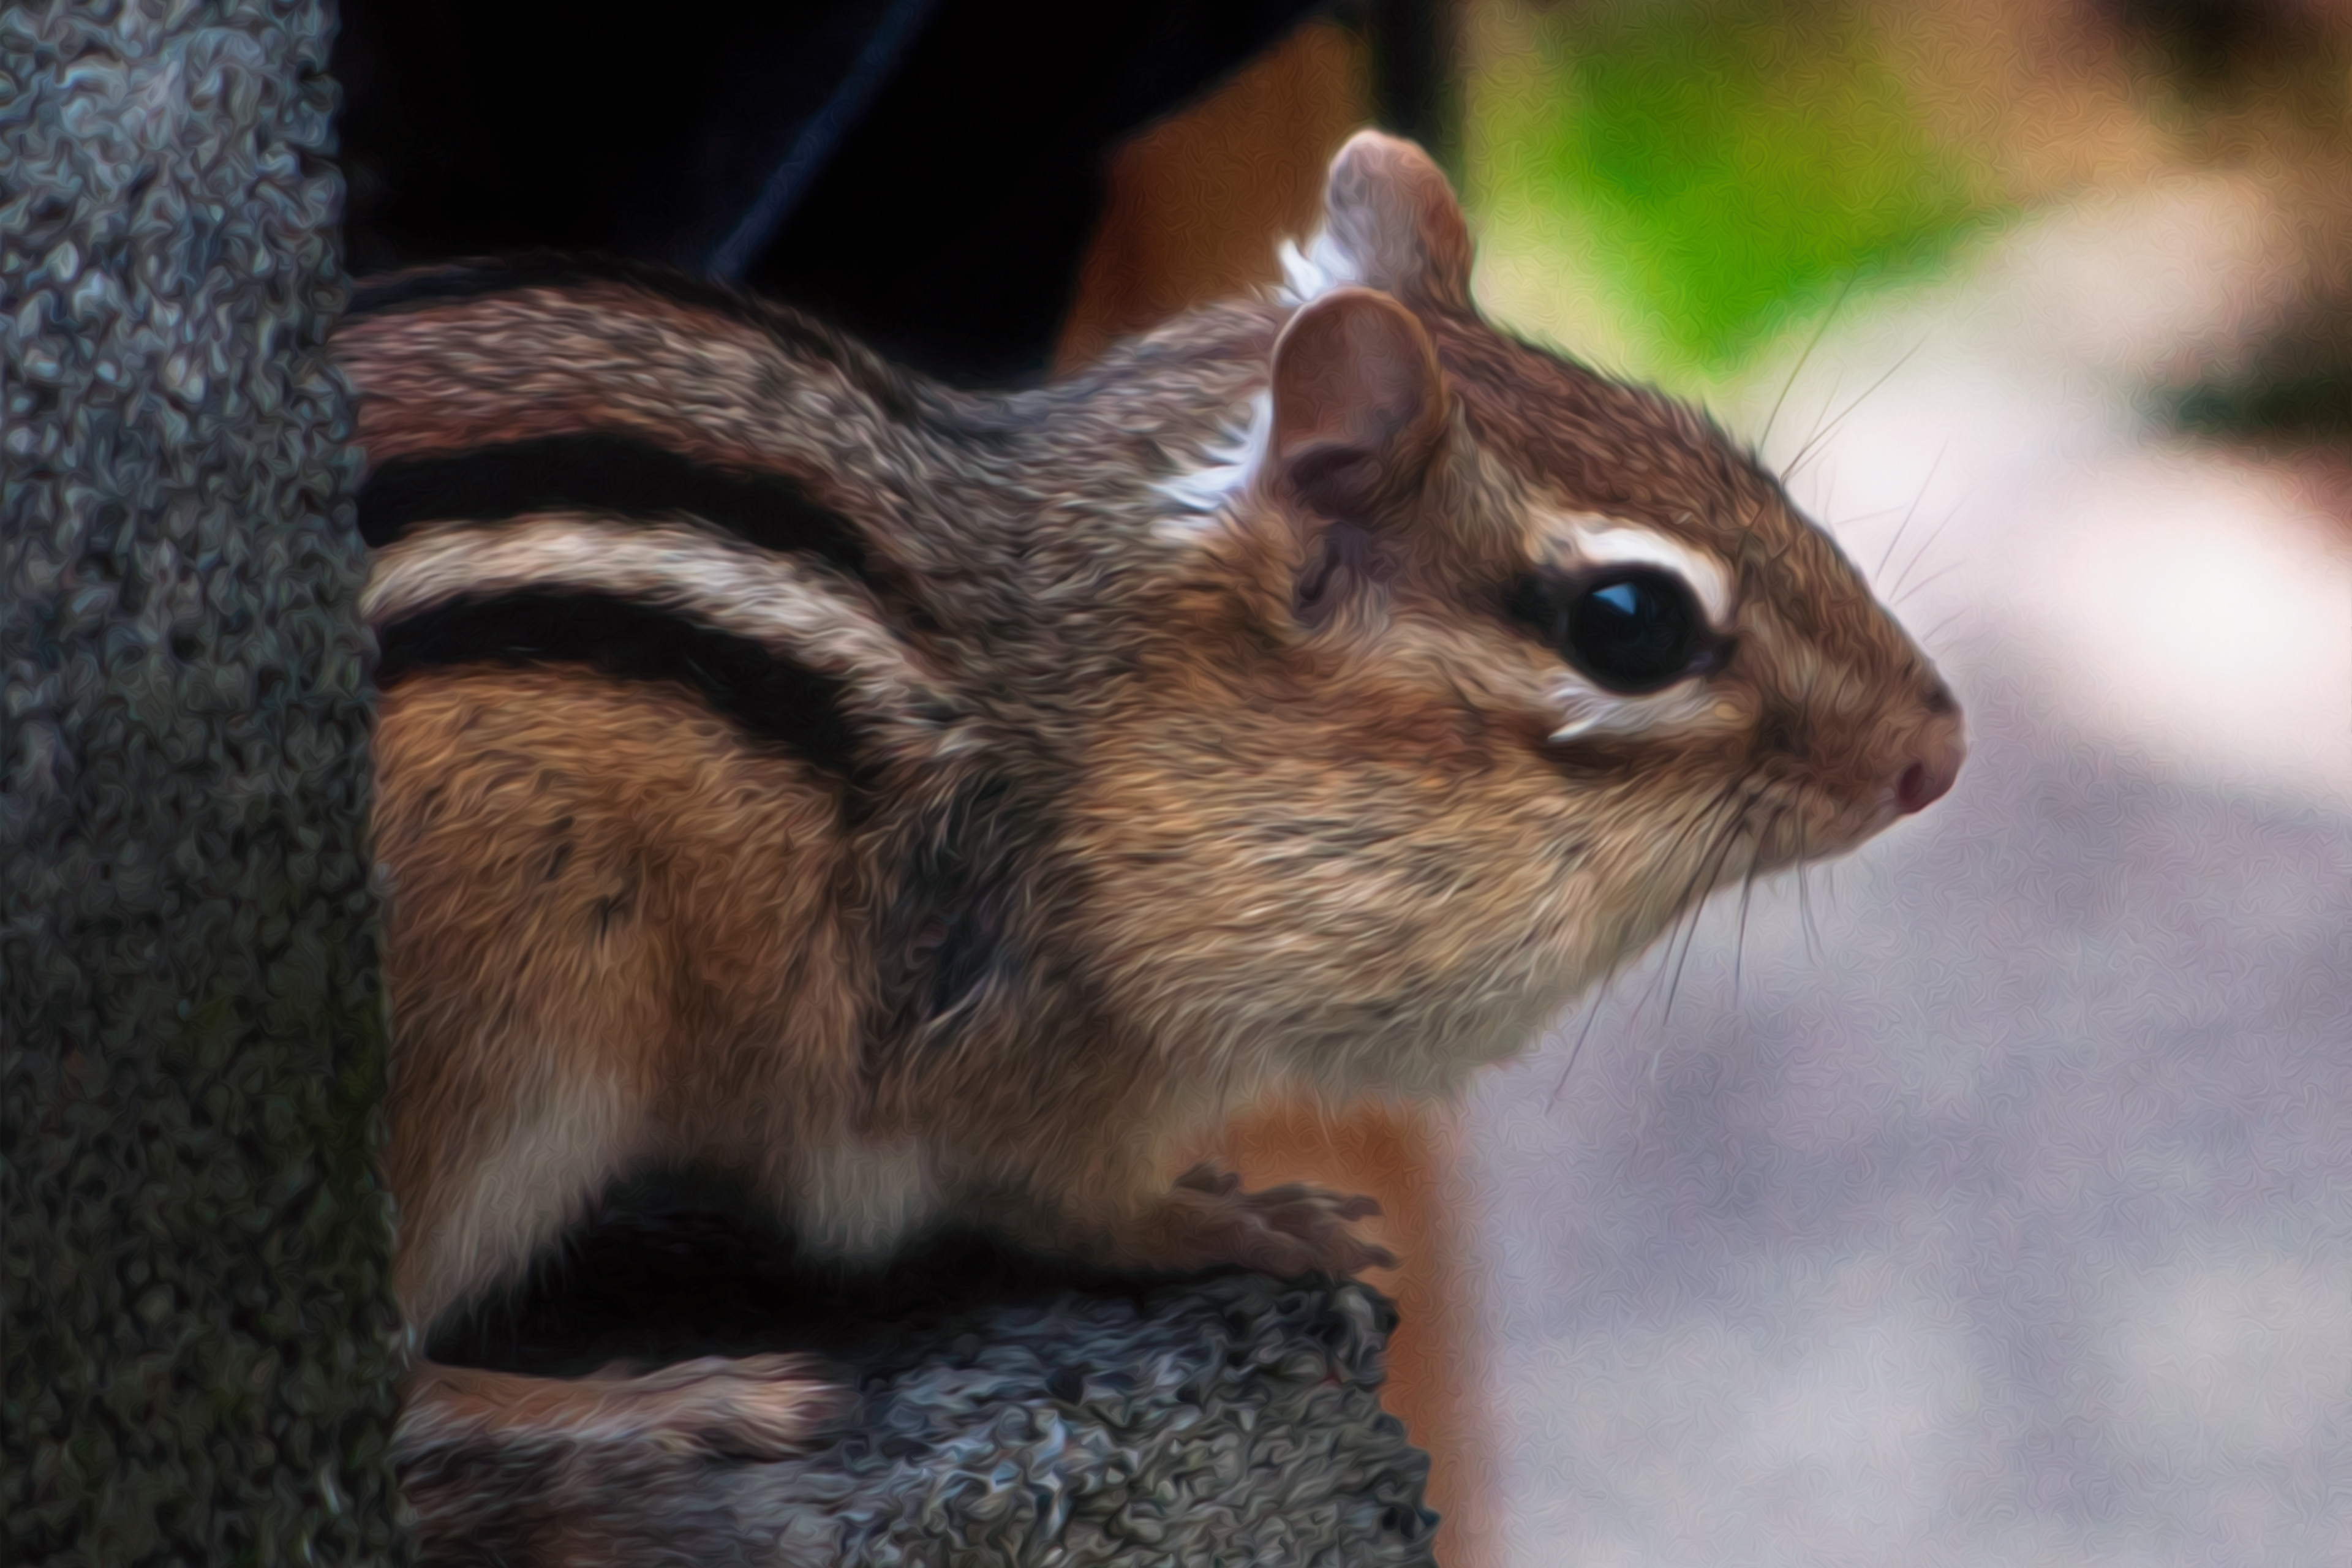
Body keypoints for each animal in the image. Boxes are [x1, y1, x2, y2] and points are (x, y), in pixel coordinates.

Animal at [344, 132, 1963, 1453]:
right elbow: (1072, 1204)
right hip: (492, 1057)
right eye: (1631, 622)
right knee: (403, 1396)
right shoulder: (1024, 1063)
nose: (1937, 750)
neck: (1078, 711)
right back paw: (657, 1401)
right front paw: (1243, 1216)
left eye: (1730, 453)